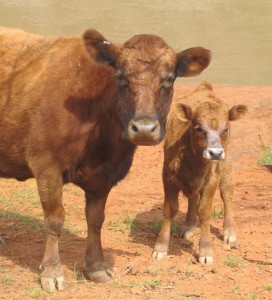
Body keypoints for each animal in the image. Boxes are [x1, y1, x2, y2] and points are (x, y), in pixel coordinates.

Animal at [0, 27, 211, 290]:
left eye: (169, 79)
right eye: (120, 77)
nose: (144, 129)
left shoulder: (104, 175)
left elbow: (96, 220)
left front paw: (96, 267)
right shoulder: (46, 165)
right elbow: (55, 220)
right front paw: (51, 272)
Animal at [152, 81, 248, 264]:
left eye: (225, 129)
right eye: (198, 128)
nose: (215, 153)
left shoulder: (212, 179)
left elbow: (204, 212)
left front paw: (205, 250)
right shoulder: (167, 176)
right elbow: (170, 210)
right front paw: (160, 247)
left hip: (225, 168)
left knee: (227, 195)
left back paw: (230, 233)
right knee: (193, 198)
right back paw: (189, 226)